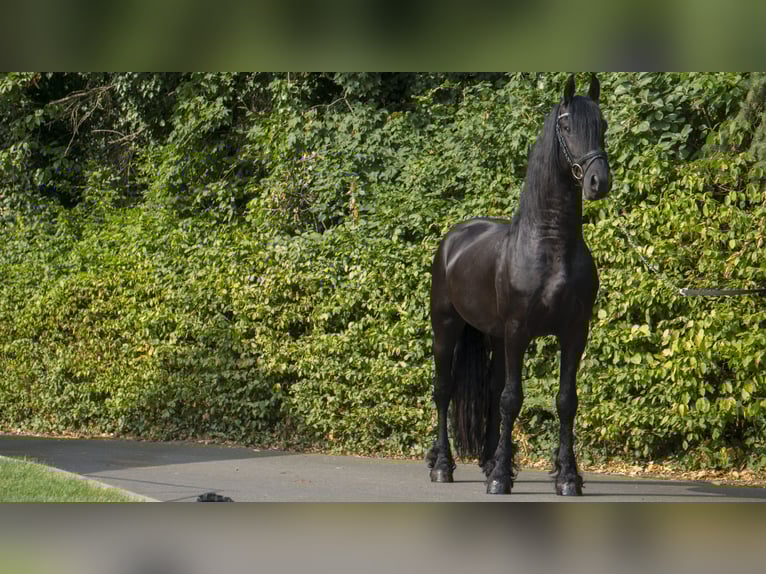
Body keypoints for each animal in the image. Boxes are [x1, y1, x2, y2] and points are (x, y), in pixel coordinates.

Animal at [426, 74, 610, 495]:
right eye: (566, 126)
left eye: (603, 126)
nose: (599, 181)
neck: (550, 247)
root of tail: (453, 239)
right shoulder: (517, 331)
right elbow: (513, 398)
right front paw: (499, 480)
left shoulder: (575, 333)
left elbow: (565, 401)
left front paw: (567, 477)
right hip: (447, 328)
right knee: (444, 390)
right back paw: (443, 466)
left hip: (493, 336)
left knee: (492, 390)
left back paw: (491, 460)